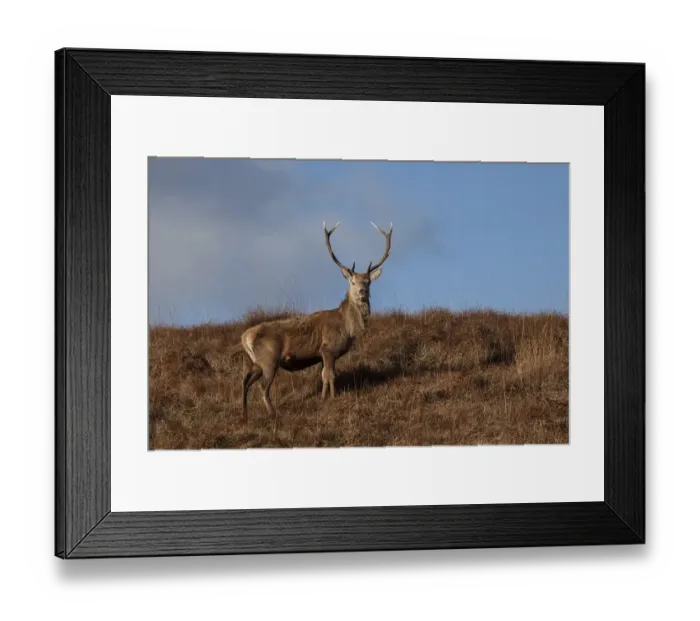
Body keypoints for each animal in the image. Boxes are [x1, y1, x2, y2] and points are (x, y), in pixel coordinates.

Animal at [237, 221, 393, 424]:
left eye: (368, 282)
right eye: (352, 281)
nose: (362, 292)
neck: (347, 328)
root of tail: (245, 337)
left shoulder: (322, 355)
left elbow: (323, 376)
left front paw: (323, 397)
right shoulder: (328, 349)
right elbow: (330, 376)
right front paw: (332, 398)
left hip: (254, 363)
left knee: (245, 381)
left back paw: (244, 414)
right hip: (269, 359)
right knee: (262, 387)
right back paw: (273, 413)